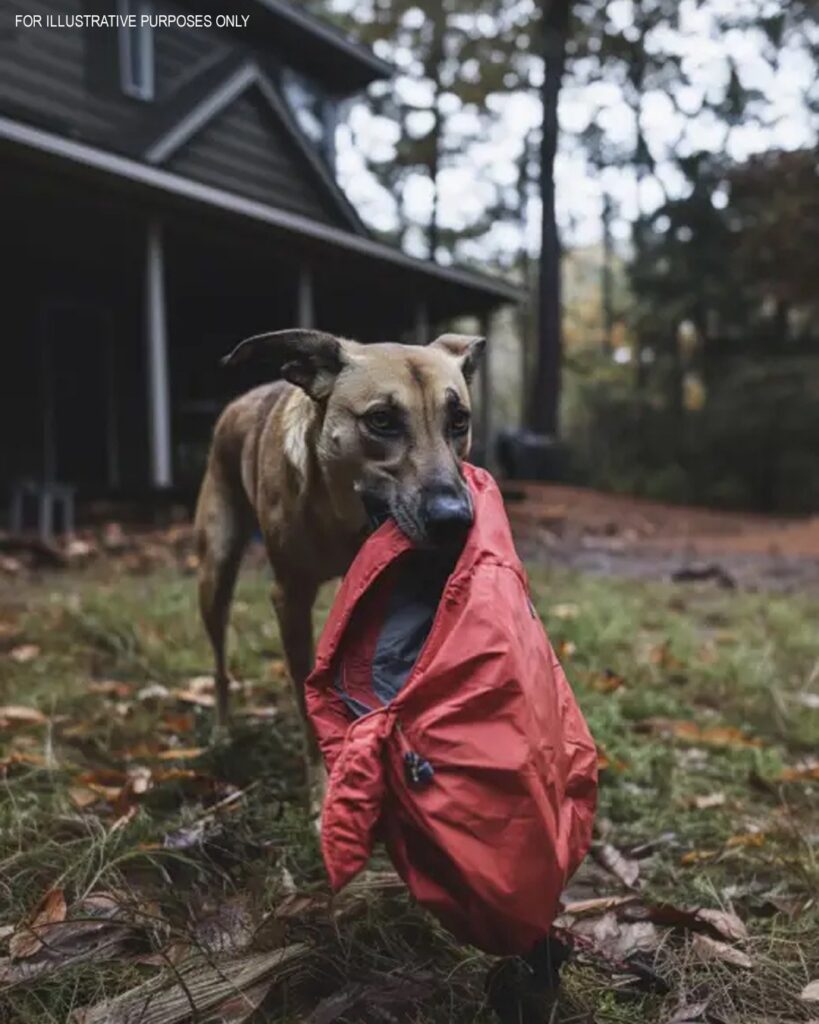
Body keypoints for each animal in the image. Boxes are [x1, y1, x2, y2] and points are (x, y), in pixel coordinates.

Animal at [194, 327, 483, 782]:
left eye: (459, 420)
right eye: (381, 420)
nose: (454, 521)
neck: (343, 516)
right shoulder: (290, 598)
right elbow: (304, 693)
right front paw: (321, 783)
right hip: (215, 571)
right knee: (220, 663)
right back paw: (223, 731)